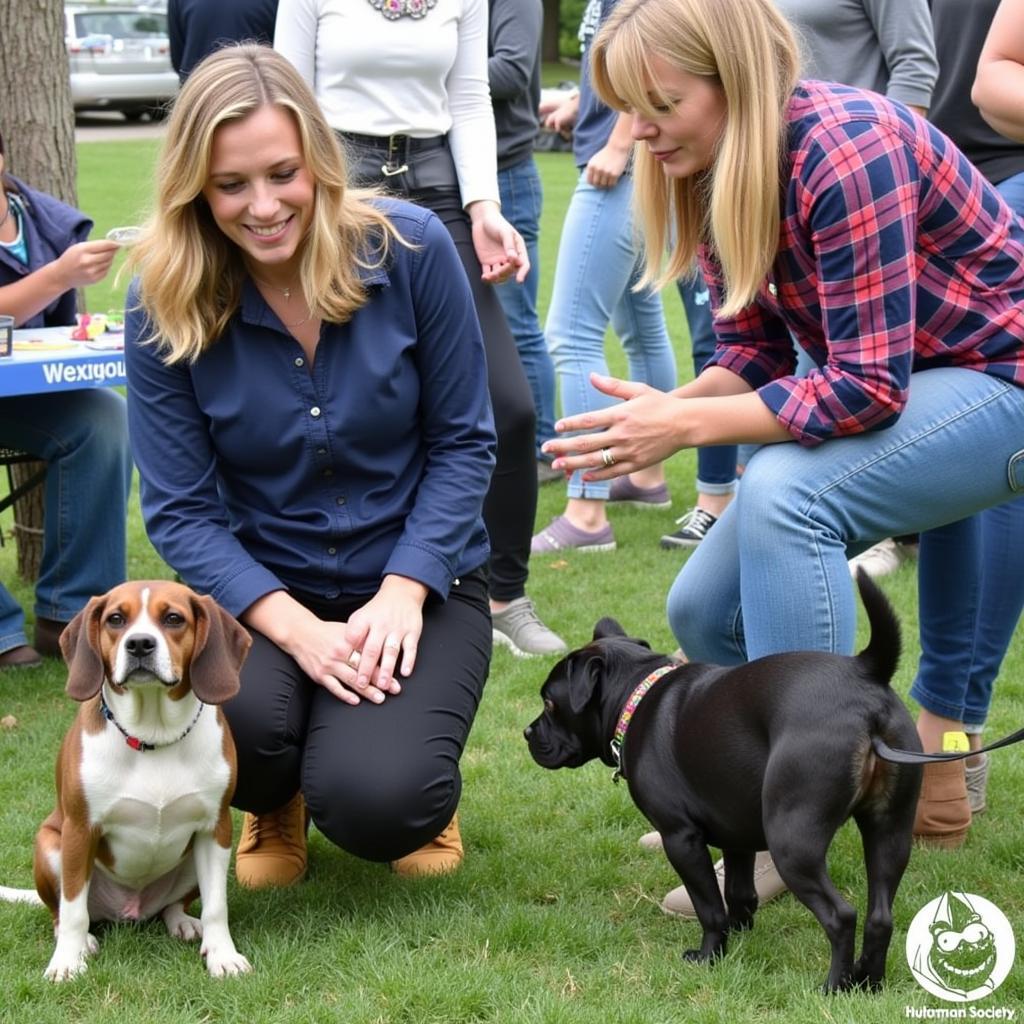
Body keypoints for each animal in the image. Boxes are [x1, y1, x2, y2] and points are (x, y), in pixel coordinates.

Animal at [528, 569, 921, 991]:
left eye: (549, 703)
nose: (527, 732)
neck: (636, 694)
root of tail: (864, 674)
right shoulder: (737, 836)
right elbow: (738, 892)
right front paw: (741, 937)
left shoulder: (681, 837)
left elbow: (710, 907)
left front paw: (709, 955)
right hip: (889, 830)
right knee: (880, 916)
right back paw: (868, 981)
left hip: (792, 839)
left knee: (841, 915)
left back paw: (833, 986)